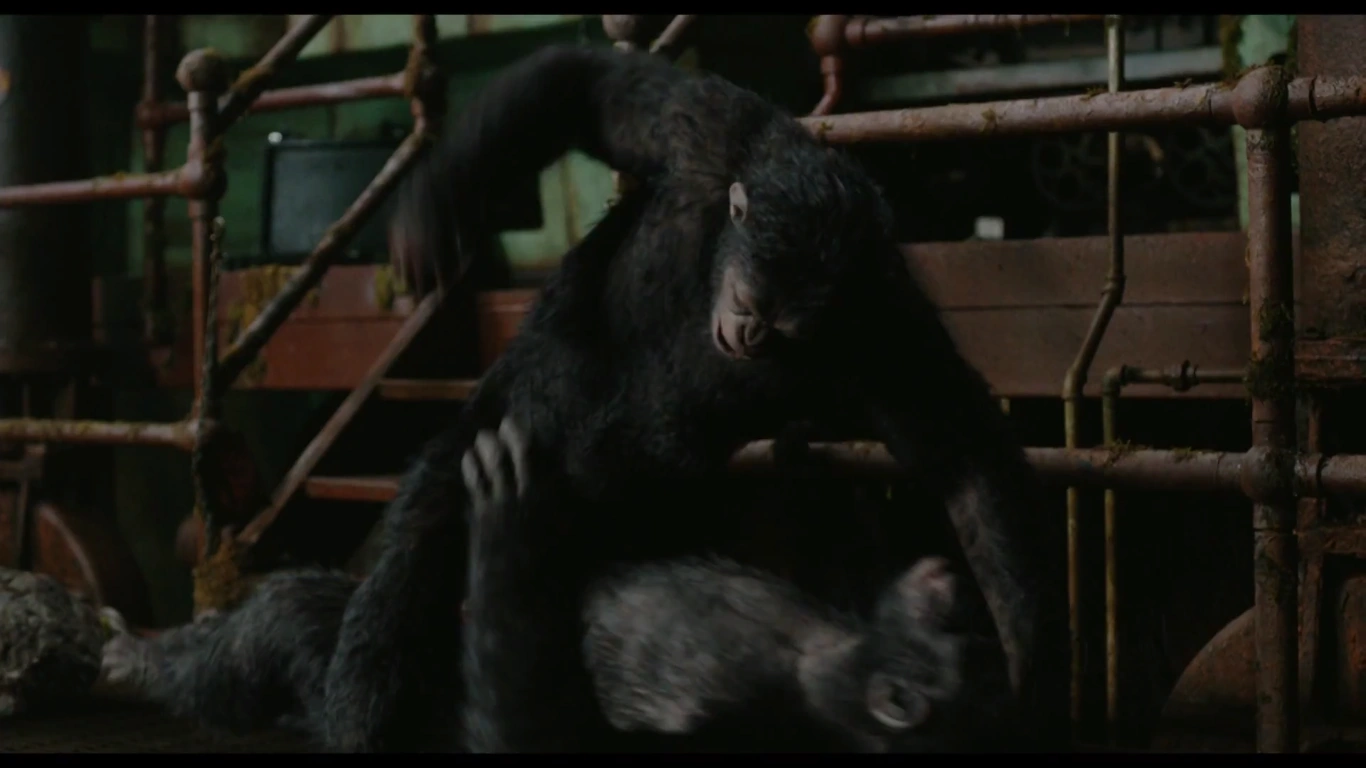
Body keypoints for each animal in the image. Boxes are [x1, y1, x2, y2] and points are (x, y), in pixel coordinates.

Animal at [321, 42, 1064, 751]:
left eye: (785, 326)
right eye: (751, 300)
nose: (749, 331)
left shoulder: (885, 319)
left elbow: (959, 447)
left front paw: (1021, 659)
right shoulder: (708, 131)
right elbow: (590, 90)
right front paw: (429, 221)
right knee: (420, 538)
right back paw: (363, 698)